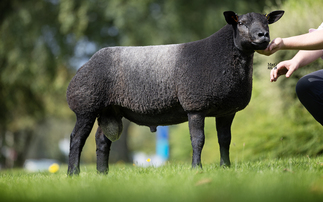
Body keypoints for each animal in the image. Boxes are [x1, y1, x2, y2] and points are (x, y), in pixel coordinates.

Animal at [67, 10, 284, 175]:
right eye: (242, 23)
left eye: (266, 21)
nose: (263, 35)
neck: (223, 55)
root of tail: (86, 63)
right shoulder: (195, 106)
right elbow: (198, 140)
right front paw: (196, 168)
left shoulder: (226, 111)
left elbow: (225, 140)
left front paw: (226, 167)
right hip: (86, 106)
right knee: (77, 139)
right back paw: (73, 173)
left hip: (110, 110)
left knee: (102, 141)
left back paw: (102, 173)